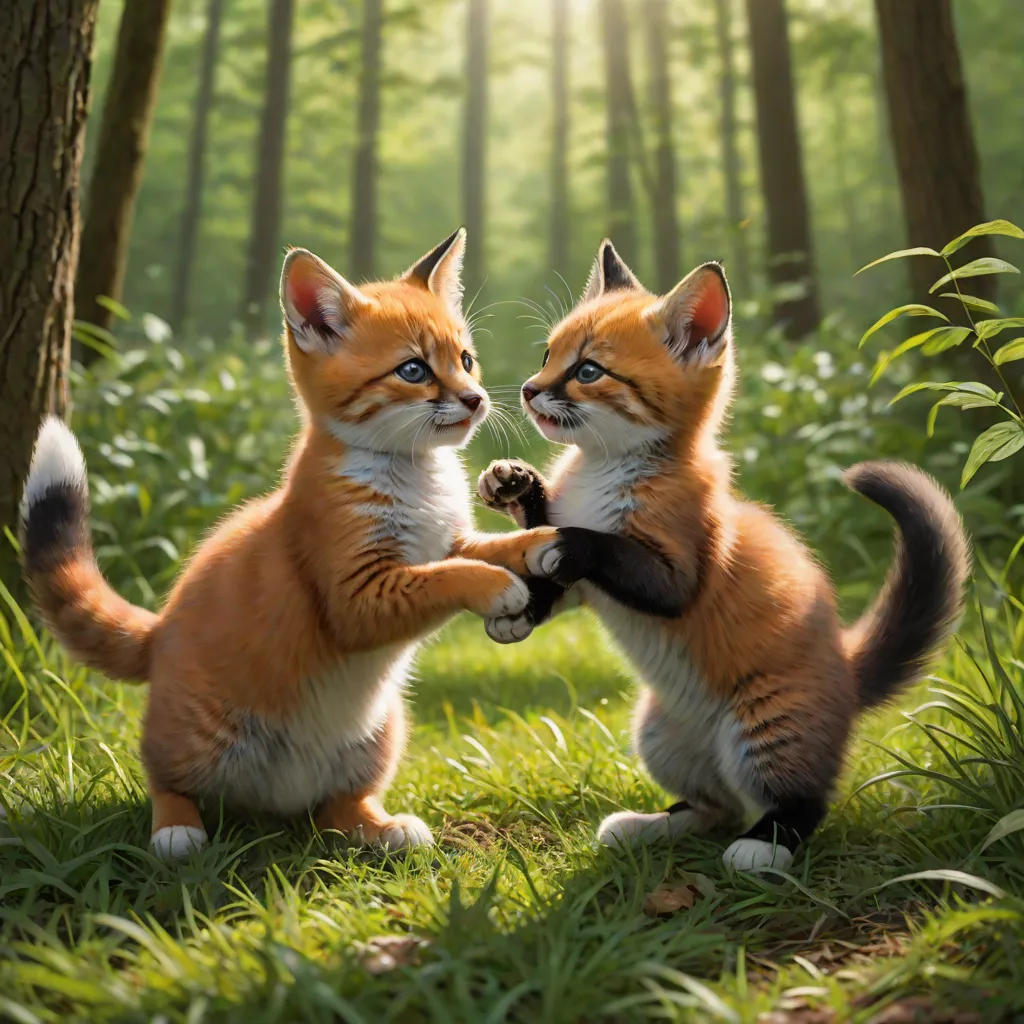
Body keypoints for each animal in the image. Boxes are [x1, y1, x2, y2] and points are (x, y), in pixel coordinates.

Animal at [20, 229, 559, 859]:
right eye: (413, 369)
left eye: (466, 360)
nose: (475, 398)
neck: (415, 478)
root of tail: (160, 629)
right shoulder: (357, 595)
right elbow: (449, 577)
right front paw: (499, 586)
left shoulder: (444, 542)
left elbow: (486, 548)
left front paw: (540, 541)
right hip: (194, 740)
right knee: (160, 771)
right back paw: (177, 828)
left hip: (380, 734)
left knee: (334, 813)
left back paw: (381, 828)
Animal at [478, 240, 970, 871]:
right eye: (548, 354)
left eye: (588, 370)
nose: (528, 388)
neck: (599, 475)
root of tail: (846, 666)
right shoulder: (586, 590)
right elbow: (547, 562)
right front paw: (514, 495)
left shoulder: (674, 575)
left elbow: (595, 544)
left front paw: (564, 539)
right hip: (659, 737)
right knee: (716, 808)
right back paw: (646, 826)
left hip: (765, 733)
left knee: (800, 804)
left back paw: (765, 847)